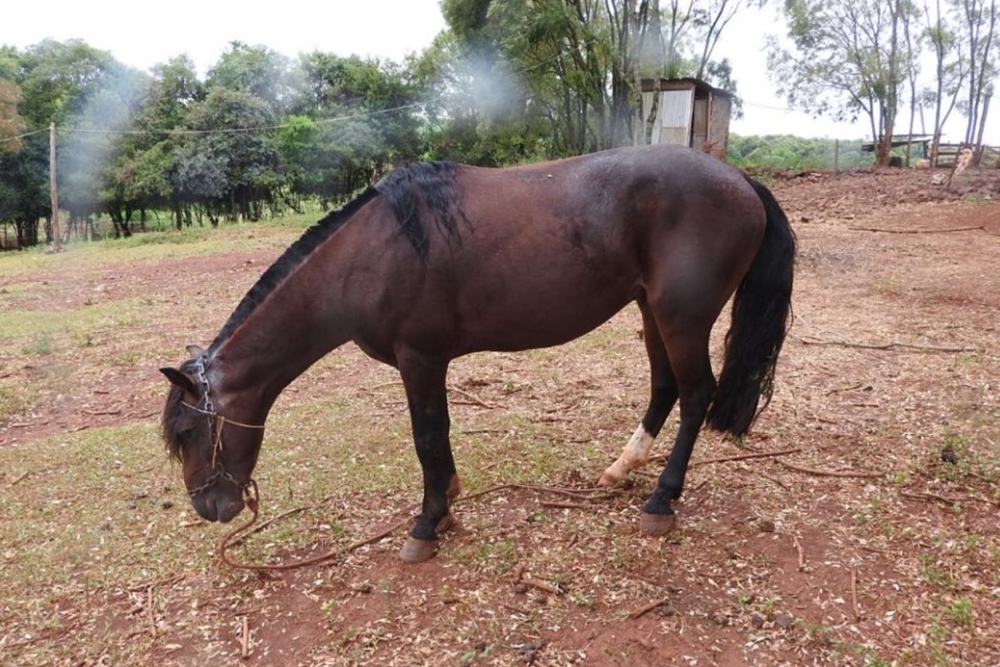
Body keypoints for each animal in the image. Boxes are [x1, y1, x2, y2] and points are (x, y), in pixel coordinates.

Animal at [160, 145, 792, 564]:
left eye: (189, 433)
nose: (209, 506)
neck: (372, 251)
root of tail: (740, 180)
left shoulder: (420, 358)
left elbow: (427, 436)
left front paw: (427, 523)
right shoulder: (427, 361)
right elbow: (435, 436)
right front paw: (445, 507)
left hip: (682, 318)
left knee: (696, 394)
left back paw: (661, 499)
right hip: (651, 311)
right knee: (666, 389)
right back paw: (620, 470)